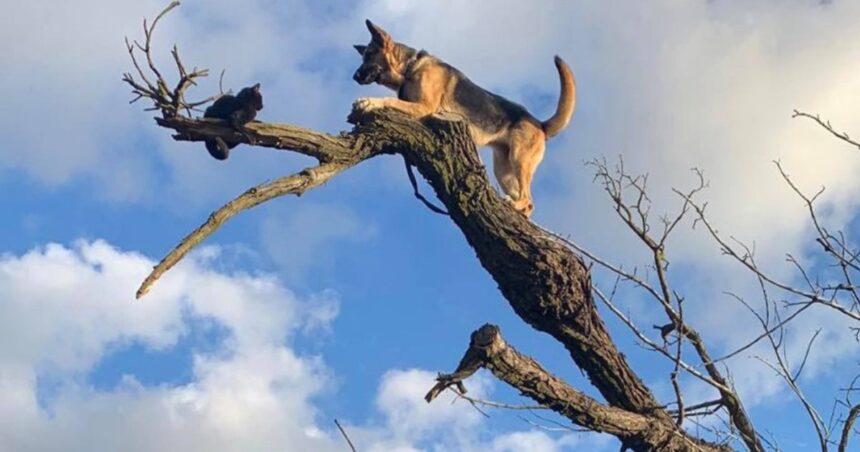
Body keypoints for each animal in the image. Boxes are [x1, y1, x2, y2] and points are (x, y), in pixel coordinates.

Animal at [350, 20, 576, 218]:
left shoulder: (424, 107)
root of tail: (540, 124)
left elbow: (389, 100)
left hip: (519, 159)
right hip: (503, 170)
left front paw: (368, 102)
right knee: (527, 203)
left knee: (528, 199)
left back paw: (516, 205)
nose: (354, 77)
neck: (409, 67)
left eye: (369, 55)